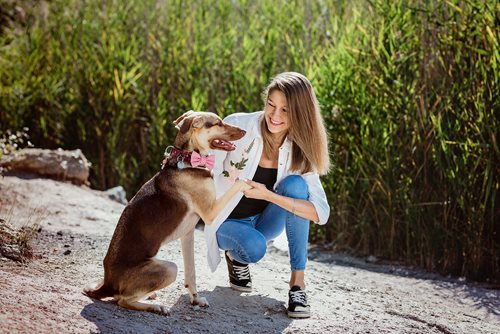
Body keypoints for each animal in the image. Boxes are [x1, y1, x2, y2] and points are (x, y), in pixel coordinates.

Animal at [84, 111, 252, 314]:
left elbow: (191, 272)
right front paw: (251, 184)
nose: (244, 131)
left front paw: (195, 299)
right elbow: (238, 183)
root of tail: (107, 283)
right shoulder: (210, 211)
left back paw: (150, 296)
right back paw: (155, 307)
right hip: (169, 268)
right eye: (217, 123)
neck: (188, 159)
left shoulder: (188, 234)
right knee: (122, 299)